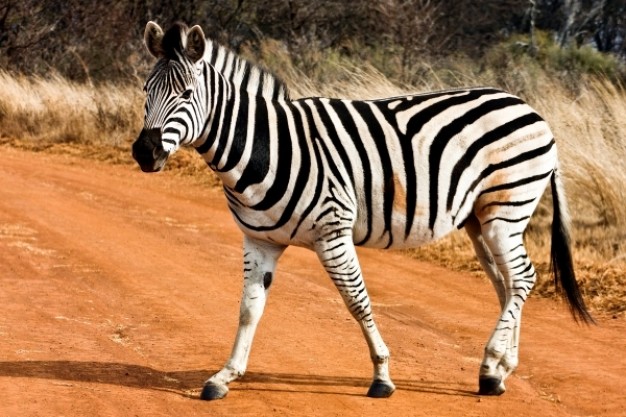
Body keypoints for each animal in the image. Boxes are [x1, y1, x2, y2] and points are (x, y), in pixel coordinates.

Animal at [132, 22, 588, 400]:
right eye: (145, 92)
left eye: (187, 94)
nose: (144, 153)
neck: (266, 147)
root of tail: (529, 108)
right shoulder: (259, 240)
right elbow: (248, 309)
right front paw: (224, 376)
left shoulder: (332, 232)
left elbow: (357, 302)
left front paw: (382, 376)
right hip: (479, 218)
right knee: (508, 284)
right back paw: (498, 371)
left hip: (505, 208)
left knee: (523, 278)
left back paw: (494, 363)